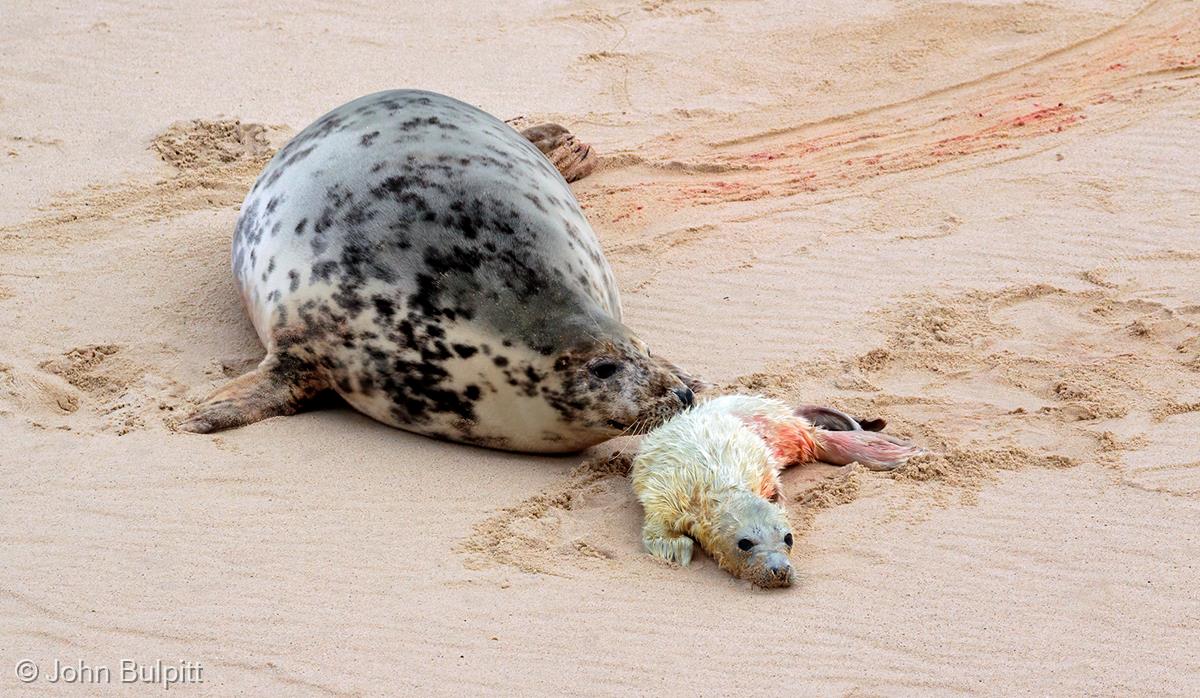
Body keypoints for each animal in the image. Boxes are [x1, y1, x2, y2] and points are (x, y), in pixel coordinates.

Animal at [181, 90, 700, 450]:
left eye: (644, 347)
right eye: (603, 368)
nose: (680, 394)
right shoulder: (308, 325)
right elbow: (285, 376)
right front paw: (203, 414)